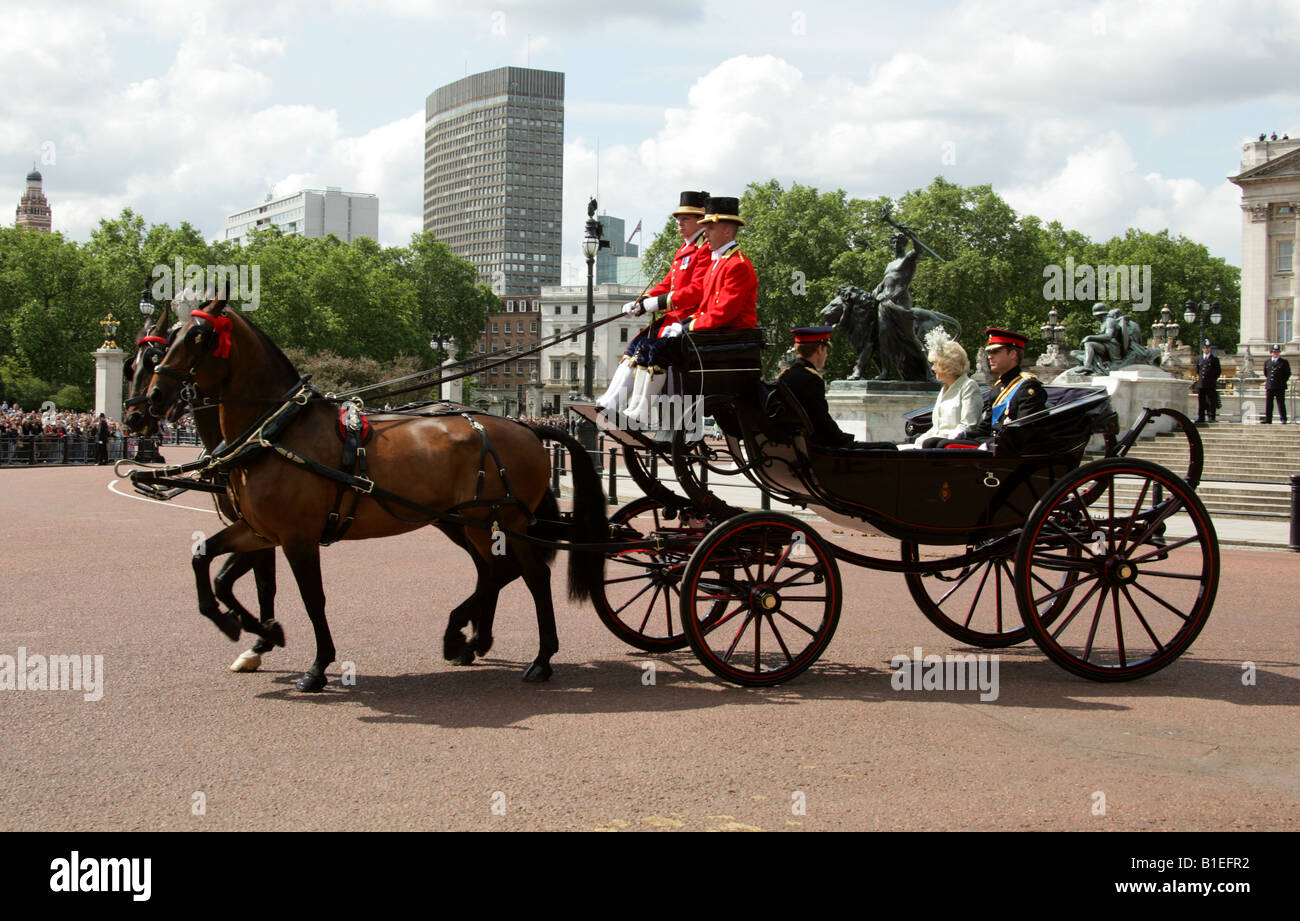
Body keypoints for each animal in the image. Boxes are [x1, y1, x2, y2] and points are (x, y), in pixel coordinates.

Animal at [142, 295, 608, 692]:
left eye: (197, 337)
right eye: (168, 341)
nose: (150, 401)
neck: (275, 430)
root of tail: (527, 427)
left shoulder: (296, 537)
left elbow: (311, 598)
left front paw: (315, 664)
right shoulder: (258, 530)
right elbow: (209, 565)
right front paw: (249, 628)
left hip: (500, 521)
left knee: (533, 576)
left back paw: (539, 658)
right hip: (469, 523)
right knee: (495, 571)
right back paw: (467, 640)